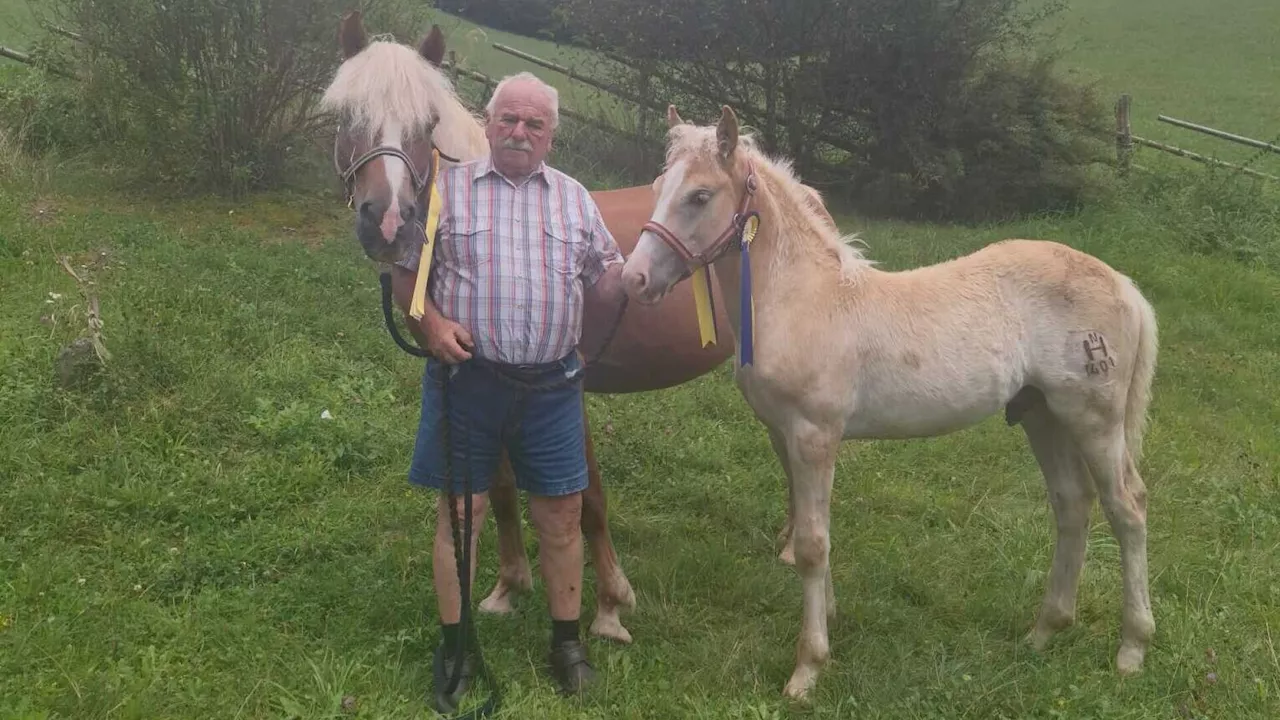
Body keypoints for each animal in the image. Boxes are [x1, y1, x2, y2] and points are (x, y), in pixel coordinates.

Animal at [318, 9, 834, 638]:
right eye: (345, 116)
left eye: (427, 122)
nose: (390, 223)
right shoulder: (485, 381)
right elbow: (503, 488)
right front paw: (509, 586)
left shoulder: (567, 386)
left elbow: (587, 499)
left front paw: (611, 602)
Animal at [619, 105, 1162, 696]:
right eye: (657, 188)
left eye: (699, 195)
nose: (633, 279)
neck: (805, 297)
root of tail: (1124, 285)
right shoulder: (785, 434)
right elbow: (812, 530)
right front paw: (830, 619)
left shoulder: (814, 435)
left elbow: (810, 545)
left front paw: (808, 668)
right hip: (1042, 414)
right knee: (1072, 505)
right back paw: (1044, 631)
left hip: (1093, 419)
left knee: (1126, 507)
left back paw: (1132, 648)